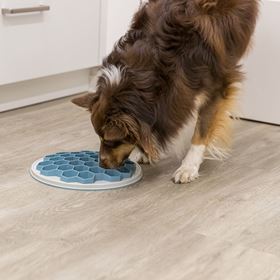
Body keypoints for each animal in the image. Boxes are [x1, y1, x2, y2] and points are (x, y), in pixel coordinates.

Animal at [71, 0, 258, 184]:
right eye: (99, 138)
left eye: (110, 141)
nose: (102, 165)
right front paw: (145, 152)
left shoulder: (216, 87)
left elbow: (201, 132)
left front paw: (188, 167)